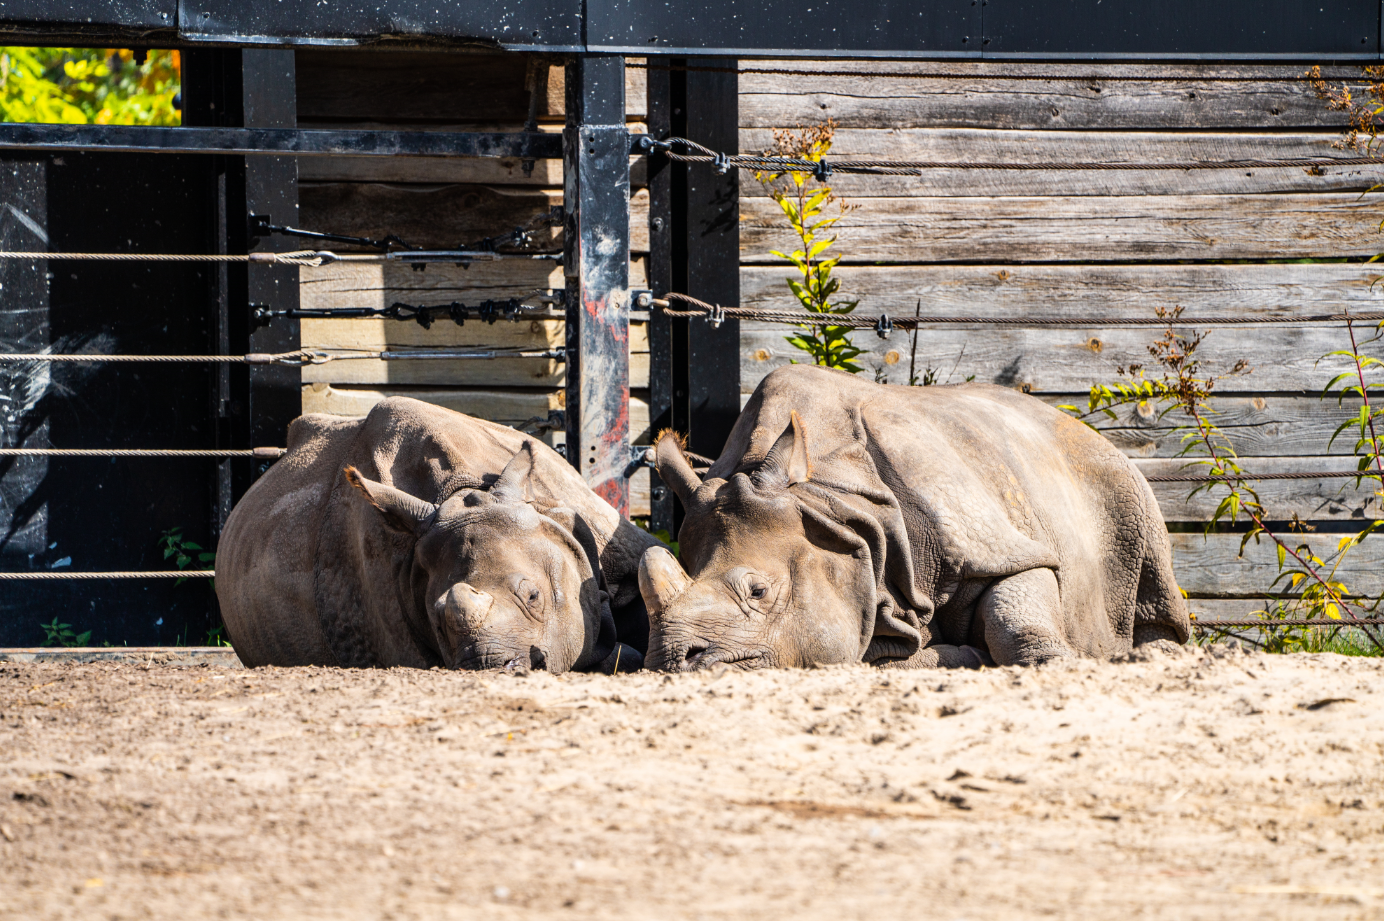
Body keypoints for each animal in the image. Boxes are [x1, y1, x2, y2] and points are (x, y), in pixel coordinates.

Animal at [640, 365, 1189, 671]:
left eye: (758, 592)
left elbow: (1014, 609)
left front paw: (1051, 663)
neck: (833, 506)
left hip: (1113, 480)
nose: (672, 660)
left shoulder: (996, 545)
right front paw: (954, 657)